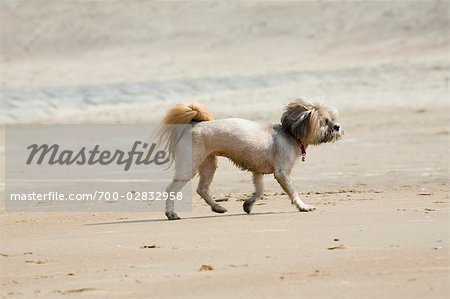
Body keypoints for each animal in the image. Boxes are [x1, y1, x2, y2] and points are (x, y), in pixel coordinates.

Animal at [156, 98, 342, 220]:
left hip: (208, 164)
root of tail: (194, 124)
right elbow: (293, 191)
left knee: (202, 189)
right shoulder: (282, 172)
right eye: (325, 121)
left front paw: (248, 204)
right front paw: (303, 206)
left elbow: (259, 191)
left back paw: (217, 207)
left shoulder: (257, 172)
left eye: (333, 119)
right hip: (189, 166)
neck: (291, 134)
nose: (337, 126)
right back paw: (171, 213)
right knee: (171, 189)